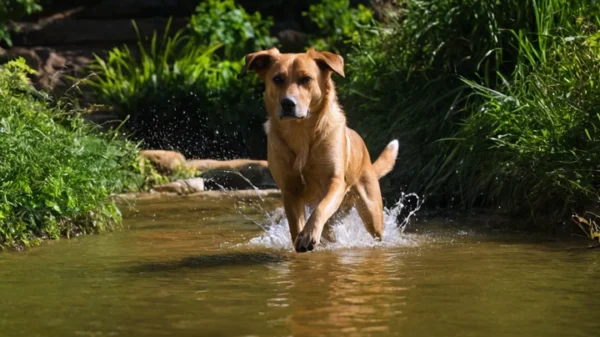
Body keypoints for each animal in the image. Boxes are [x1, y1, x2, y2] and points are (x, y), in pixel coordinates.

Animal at [239, 48, 398, 252]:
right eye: (277, 79)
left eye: (306, 79)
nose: (287, 103)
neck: (300, 133)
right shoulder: (290, 190)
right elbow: (295, 224)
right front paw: (301, 238)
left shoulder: (334, 183)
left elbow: (321, 209)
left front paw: (308, 235)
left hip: (371, 211)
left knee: (372, 228)